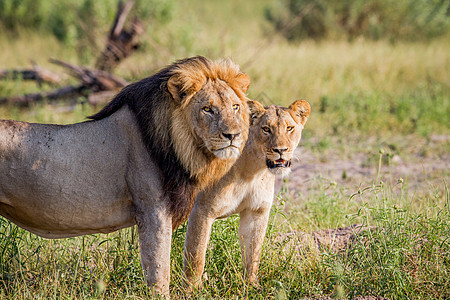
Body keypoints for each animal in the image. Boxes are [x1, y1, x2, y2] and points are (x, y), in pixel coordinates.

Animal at [0, 55, 253, 296]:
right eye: (207, 109)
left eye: (235, 107)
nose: (234, 135)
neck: (179, 147)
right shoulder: (152, 209)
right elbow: (159, 270)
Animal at [183, 99, 310, 290]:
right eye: (266, 129)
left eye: (289, 128)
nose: (281, 150)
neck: (251, 171)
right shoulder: (201, 211)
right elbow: (196, 254)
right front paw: (192, 290)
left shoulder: (256, 212)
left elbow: (253, 253)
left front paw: (251, 285)